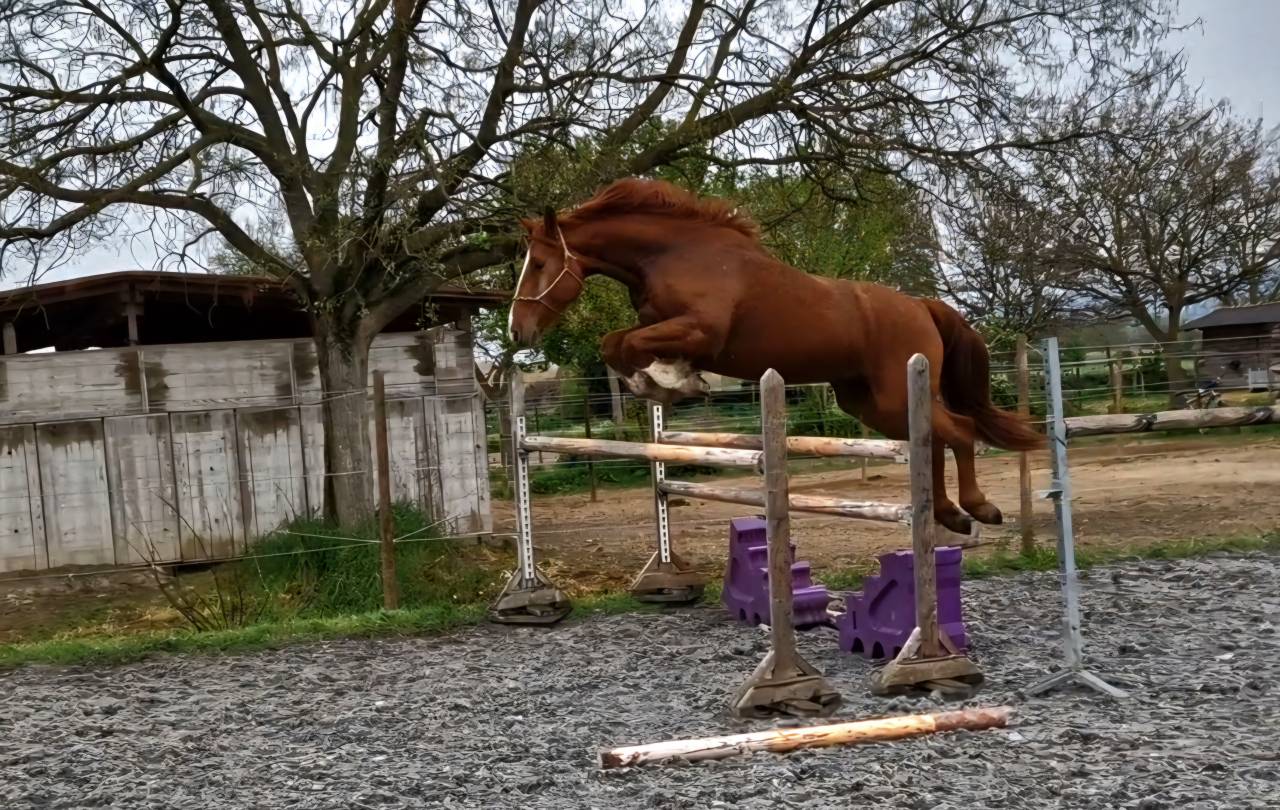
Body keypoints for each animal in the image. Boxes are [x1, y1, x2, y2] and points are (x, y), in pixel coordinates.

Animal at [507, 177, 1044, 534]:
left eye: (539, 264)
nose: (518, 328)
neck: (675, 254)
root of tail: (919, 305)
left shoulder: (701, 331)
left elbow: (628, 346)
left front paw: (672, 380)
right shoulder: (659, 324)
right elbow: (615, 343)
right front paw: (668, 382)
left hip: (895, 394)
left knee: (960, 431)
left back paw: (978, 508)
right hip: (870, 403)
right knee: (932, 438)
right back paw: (947, 514)